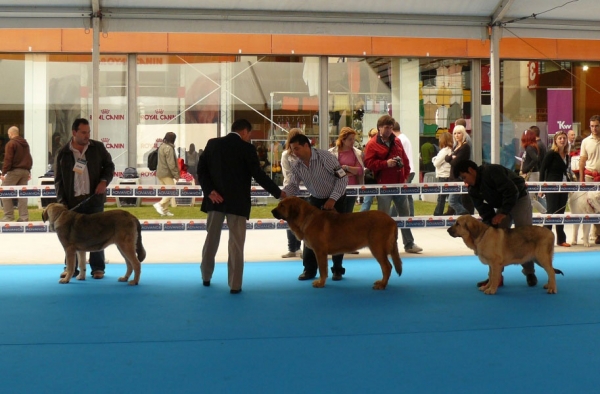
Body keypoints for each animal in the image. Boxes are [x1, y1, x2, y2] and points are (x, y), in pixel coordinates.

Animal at [272, 197, 404, 290]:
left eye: (282, 205)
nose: (272, 211)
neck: (306, 218)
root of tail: (392, 220)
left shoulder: (320, 252)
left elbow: (322, 270)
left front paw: (320, 283)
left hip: (377, 248)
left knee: (387, 267)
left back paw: (382, 285)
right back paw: (381, 282)